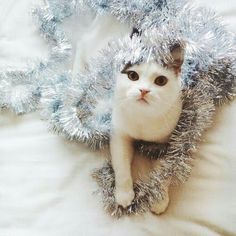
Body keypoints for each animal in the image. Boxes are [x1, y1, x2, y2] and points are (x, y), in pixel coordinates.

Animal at [110, 44, 184, 214]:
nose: (143, 90)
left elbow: (163, 172)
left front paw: (159, 198)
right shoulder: (119, 135)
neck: (143, 118)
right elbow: (121, 165)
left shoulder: (167, 143)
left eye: (161, 80)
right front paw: (124, 194)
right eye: (132, 75)